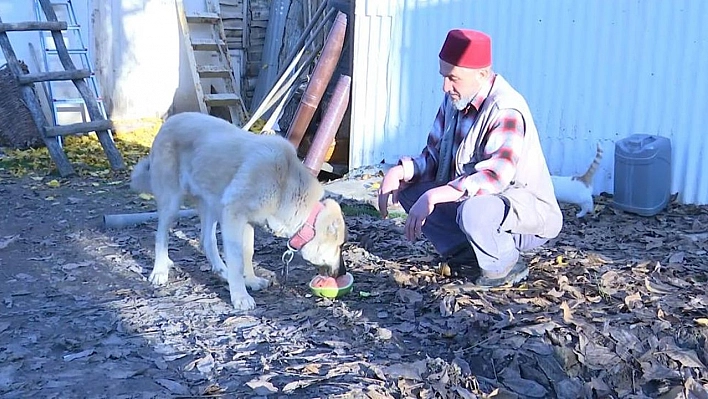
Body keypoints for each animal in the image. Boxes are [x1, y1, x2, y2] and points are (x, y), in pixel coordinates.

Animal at [132, 112, 348, 312]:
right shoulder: (234, 216)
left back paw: (221, 270)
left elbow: (247, 253)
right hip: (172, 202)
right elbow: (237, 260)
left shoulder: (246, 222)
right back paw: (160, 271)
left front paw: (250, 280)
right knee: (161, 235)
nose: (342, 274)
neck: (285, 186)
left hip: (211, 205)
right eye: (340, 246)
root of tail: (168, 122)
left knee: (206, 240)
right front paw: (240, 296)